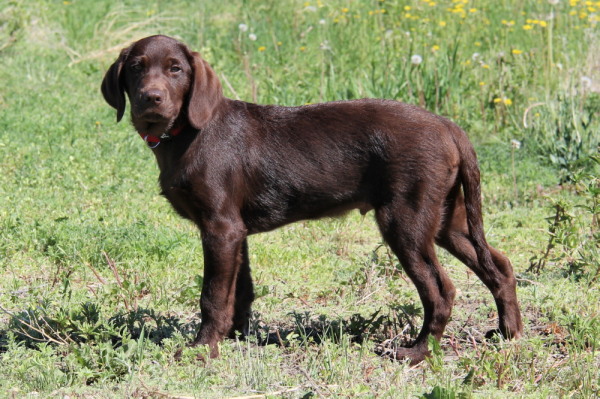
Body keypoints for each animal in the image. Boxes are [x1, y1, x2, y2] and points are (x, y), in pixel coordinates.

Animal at [101, 35, 524, 366]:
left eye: (176, 69)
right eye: (136, 68)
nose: (151, 98)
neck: (186, 135)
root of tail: (449, 126)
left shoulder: (220, 227)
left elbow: (212, 295)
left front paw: (202, 349)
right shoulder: (235, 231)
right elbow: (241, 290)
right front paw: (235, 337)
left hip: (406, 220)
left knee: (440, 290)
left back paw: (417, 352)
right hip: (447, 217)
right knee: (500, 266)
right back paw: (509, 333)